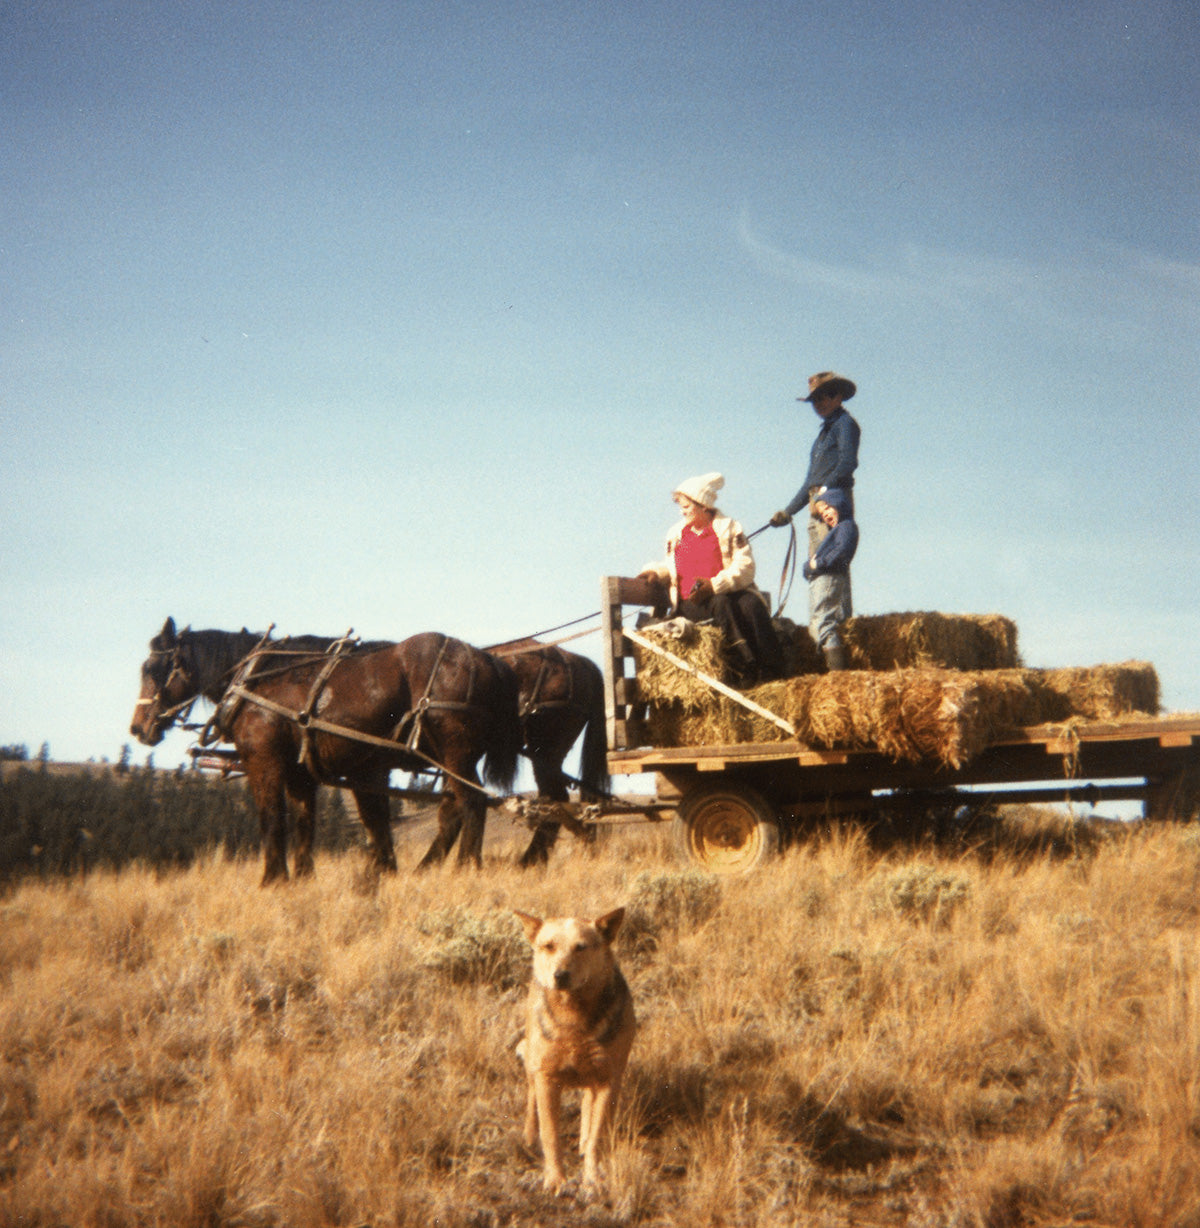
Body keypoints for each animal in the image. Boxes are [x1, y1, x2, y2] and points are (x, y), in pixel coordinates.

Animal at [130, 623, 520, 884]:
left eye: (152, 669)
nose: (137, 728)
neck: (258, 679)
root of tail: (489, 660)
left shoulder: (265, 763)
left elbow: (271, 819)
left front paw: (272, 879)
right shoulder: (301, 774)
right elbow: (306, 824)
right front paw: (303, 877)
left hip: (456, 754)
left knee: (472, 803)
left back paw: (466, 866)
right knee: (454, 808)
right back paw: (430, 866)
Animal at [510, 908, 633, 1193]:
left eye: (581, 947)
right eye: (548, 946)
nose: (560, 975)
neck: (574, 1019)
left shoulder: (608, 1079)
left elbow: (597, 1137)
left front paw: (592, 1178)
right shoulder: (547, 1078)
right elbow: (551, 1135)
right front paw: (555, 1180)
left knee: (588, 1112)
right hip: (532, 1062)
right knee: (531, 1102)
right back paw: (529, 1139)